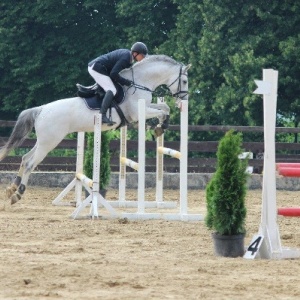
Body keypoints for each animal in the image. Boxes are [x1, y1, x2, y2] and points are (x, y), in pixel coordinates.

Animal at [0, 54, 191, 204]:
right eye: (184, 81)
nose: (183, 100)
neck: (140, 82)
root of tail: (40, 110)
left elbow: (164, 107)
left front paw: (158, 127)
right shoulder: (138, 112)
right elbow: (164, 110)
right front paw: (160, 127)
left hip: (43, 142)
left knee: (25, 158)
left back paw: (12, 188)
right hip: (50, 142)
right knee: (31, 163)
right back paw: (18, 193)